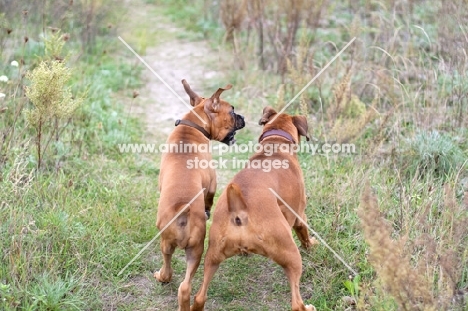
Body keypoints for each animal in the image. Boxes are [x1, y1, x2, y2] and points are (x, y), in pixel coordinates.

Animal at [155, 80, 247, 311]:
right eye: (232, 111)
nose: (243, 117)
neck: (191, 126)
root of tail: (183, 212)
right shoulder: (213, 183)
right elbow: (210, 199)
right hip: (194, 250)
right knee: (184, 286)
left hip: (173, 246)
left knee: (175, 277)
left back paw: (163, 278)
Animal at [191, 107, 318, 311]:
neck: (275, 143)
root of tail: (240, 211)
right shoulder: (300, 216)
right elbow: (304, 235)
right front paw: (311, 245)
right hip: (291, 256)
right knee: (296, 303)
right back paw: (307, 307)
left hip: (212, 257)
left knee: (199, 297)